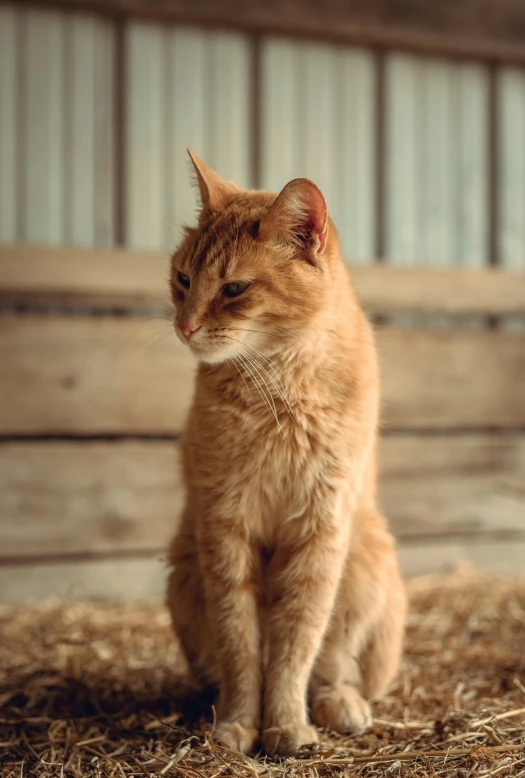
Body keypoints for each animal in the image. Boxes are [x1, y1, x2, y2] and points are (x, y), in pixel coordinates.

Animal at [166, 152, 404, 752]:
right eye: (183, 279)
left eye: (234, 289)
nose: (185, 326)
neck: (278, 389)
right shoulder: (225, 528)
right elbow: (241, 645)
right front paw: (238, 723)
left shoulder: (320, 532)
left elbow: (297, 641)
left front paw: (286, 724)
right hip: (184, 570)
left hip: (364, 558)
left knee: (335, 664)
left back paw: (339, 704)